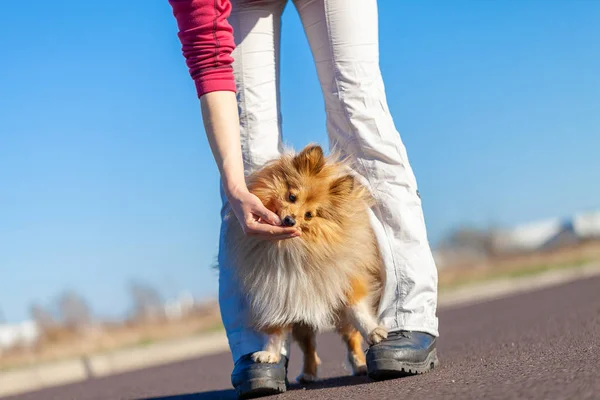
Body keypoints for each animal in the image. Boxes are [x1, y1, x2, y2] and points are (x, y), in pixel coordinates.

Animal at [223, 144, 386, 382]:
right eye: (292, 196)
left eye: (309, 215)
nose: (290, 220)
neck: (291, 247)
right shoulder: (275, 293)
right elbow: (275, 331)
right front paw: (269, 355)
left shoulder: (346, 281)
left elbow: (359, 311)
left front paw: (374, 332)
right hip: (301, 319)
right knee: (309, 346)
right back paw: (308, 373)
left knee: (350, 337)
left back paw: (360, 365)